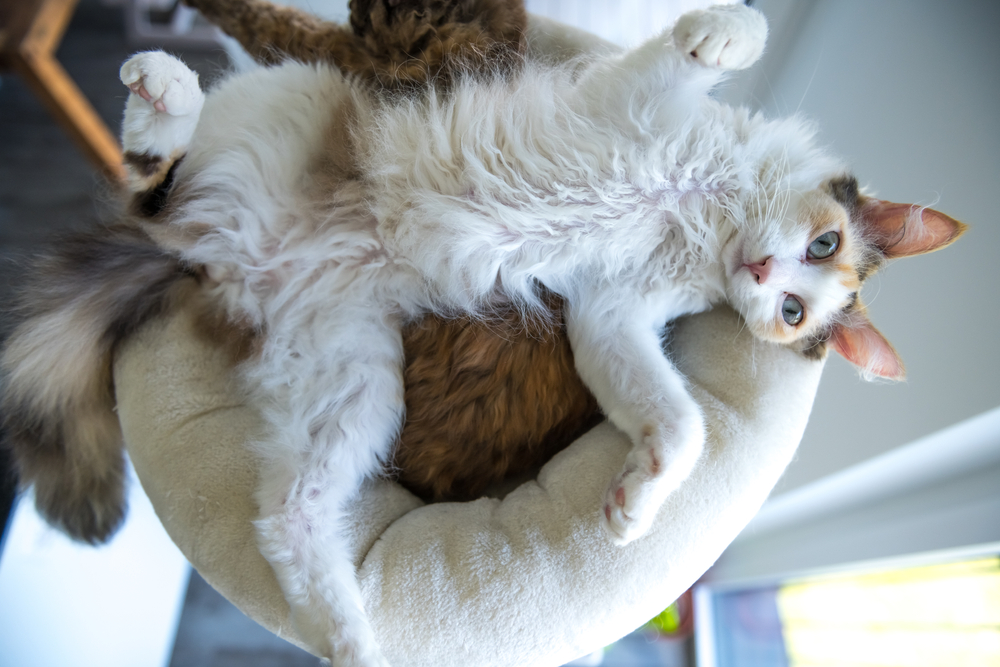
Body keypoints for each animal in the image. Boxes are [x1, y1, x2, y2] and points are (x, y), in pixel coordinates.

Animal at [1, 6, 968, 667]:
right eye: (822, 248)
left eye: (797, 311)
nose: (767, 277)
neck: (703, 209)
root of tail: (220, 258)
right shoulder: (641, 97)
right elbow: (727, 35)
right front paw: (724, 35)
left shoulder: (609, 316)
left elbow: (683, 424)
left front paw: (639, 500)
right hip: (300, 104)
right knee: (151, 174)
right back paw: (162, 85)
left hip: (356, 383)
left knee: (289, 515)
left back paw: (350, 639)